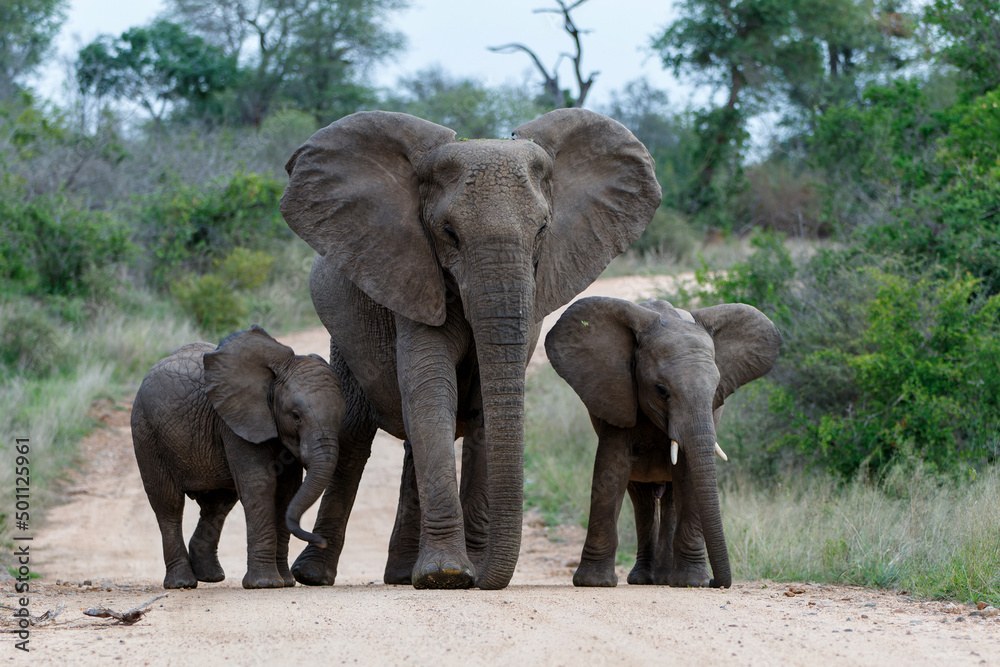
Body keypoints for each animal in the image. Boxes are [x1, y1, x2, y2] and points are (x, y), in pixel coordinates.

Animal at [130, 325, 345, 589]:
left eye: (342, 417)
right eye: (295, 416)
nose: (320, 541)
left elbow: (287, 490)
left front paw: (285, 582)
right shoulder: (235, 420)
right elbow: (259, 484)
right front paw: (265, 584)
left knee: (218, 504)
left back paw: (210, 577)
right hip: (146, 432)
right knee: (168, 503)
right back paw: (182, 583)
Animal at [280, 108, 661, 589]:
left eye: (542, 230)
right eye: (449, 233)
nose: (486, 580)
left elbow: (480, 406)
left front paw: (466, 572)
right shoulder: (413, 274)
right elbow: (430, 387)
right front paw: (446, 575)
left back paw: (402, 574)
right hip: (345, 335)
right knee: (353, 436)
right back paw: (316, 574)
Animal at [544, 297, 780, 588]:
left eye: (716, 390)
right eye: (661, 391)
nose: (716, 582)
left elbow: (688, 476)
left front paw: (692, 582)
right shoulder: (616, 396)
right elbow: (610, 471)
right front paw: (593, 582)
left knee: (670, 496)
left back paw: (665, 578)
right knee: (642, 499)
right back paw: (645, 578)